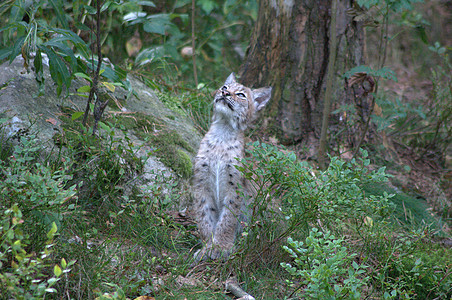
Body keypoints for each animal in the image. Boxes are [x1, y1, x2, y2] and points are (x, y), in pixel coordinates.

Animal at [192, 72, 272, 260]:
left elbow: (228, 219)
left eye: (241, 95)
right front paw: (207, 246)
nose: (225, 94)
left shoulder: (234, 186)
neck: (223, 130)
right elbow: (204, 216)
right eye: (224, 87)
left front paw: (221, 247)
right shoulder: (201, 182)